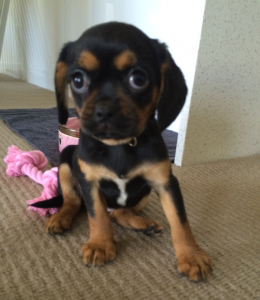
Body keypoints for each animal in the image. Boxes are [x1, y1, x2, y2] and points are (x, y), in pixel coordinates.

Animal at [42, 22, 212, 280]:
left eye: (138, 79)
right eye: (78, 80)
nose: (104, 111)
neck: (119, 146)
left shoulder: (165, 182)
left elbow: (180, 221)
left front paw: (191, 255)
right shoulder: (89, 181)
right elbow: (97, 215)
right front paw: (100, 244)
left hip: (145, 193)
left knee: (119, 213)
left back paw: (144, 224)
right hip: (65, 161)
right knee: (74, 202)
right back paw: (60, 217)